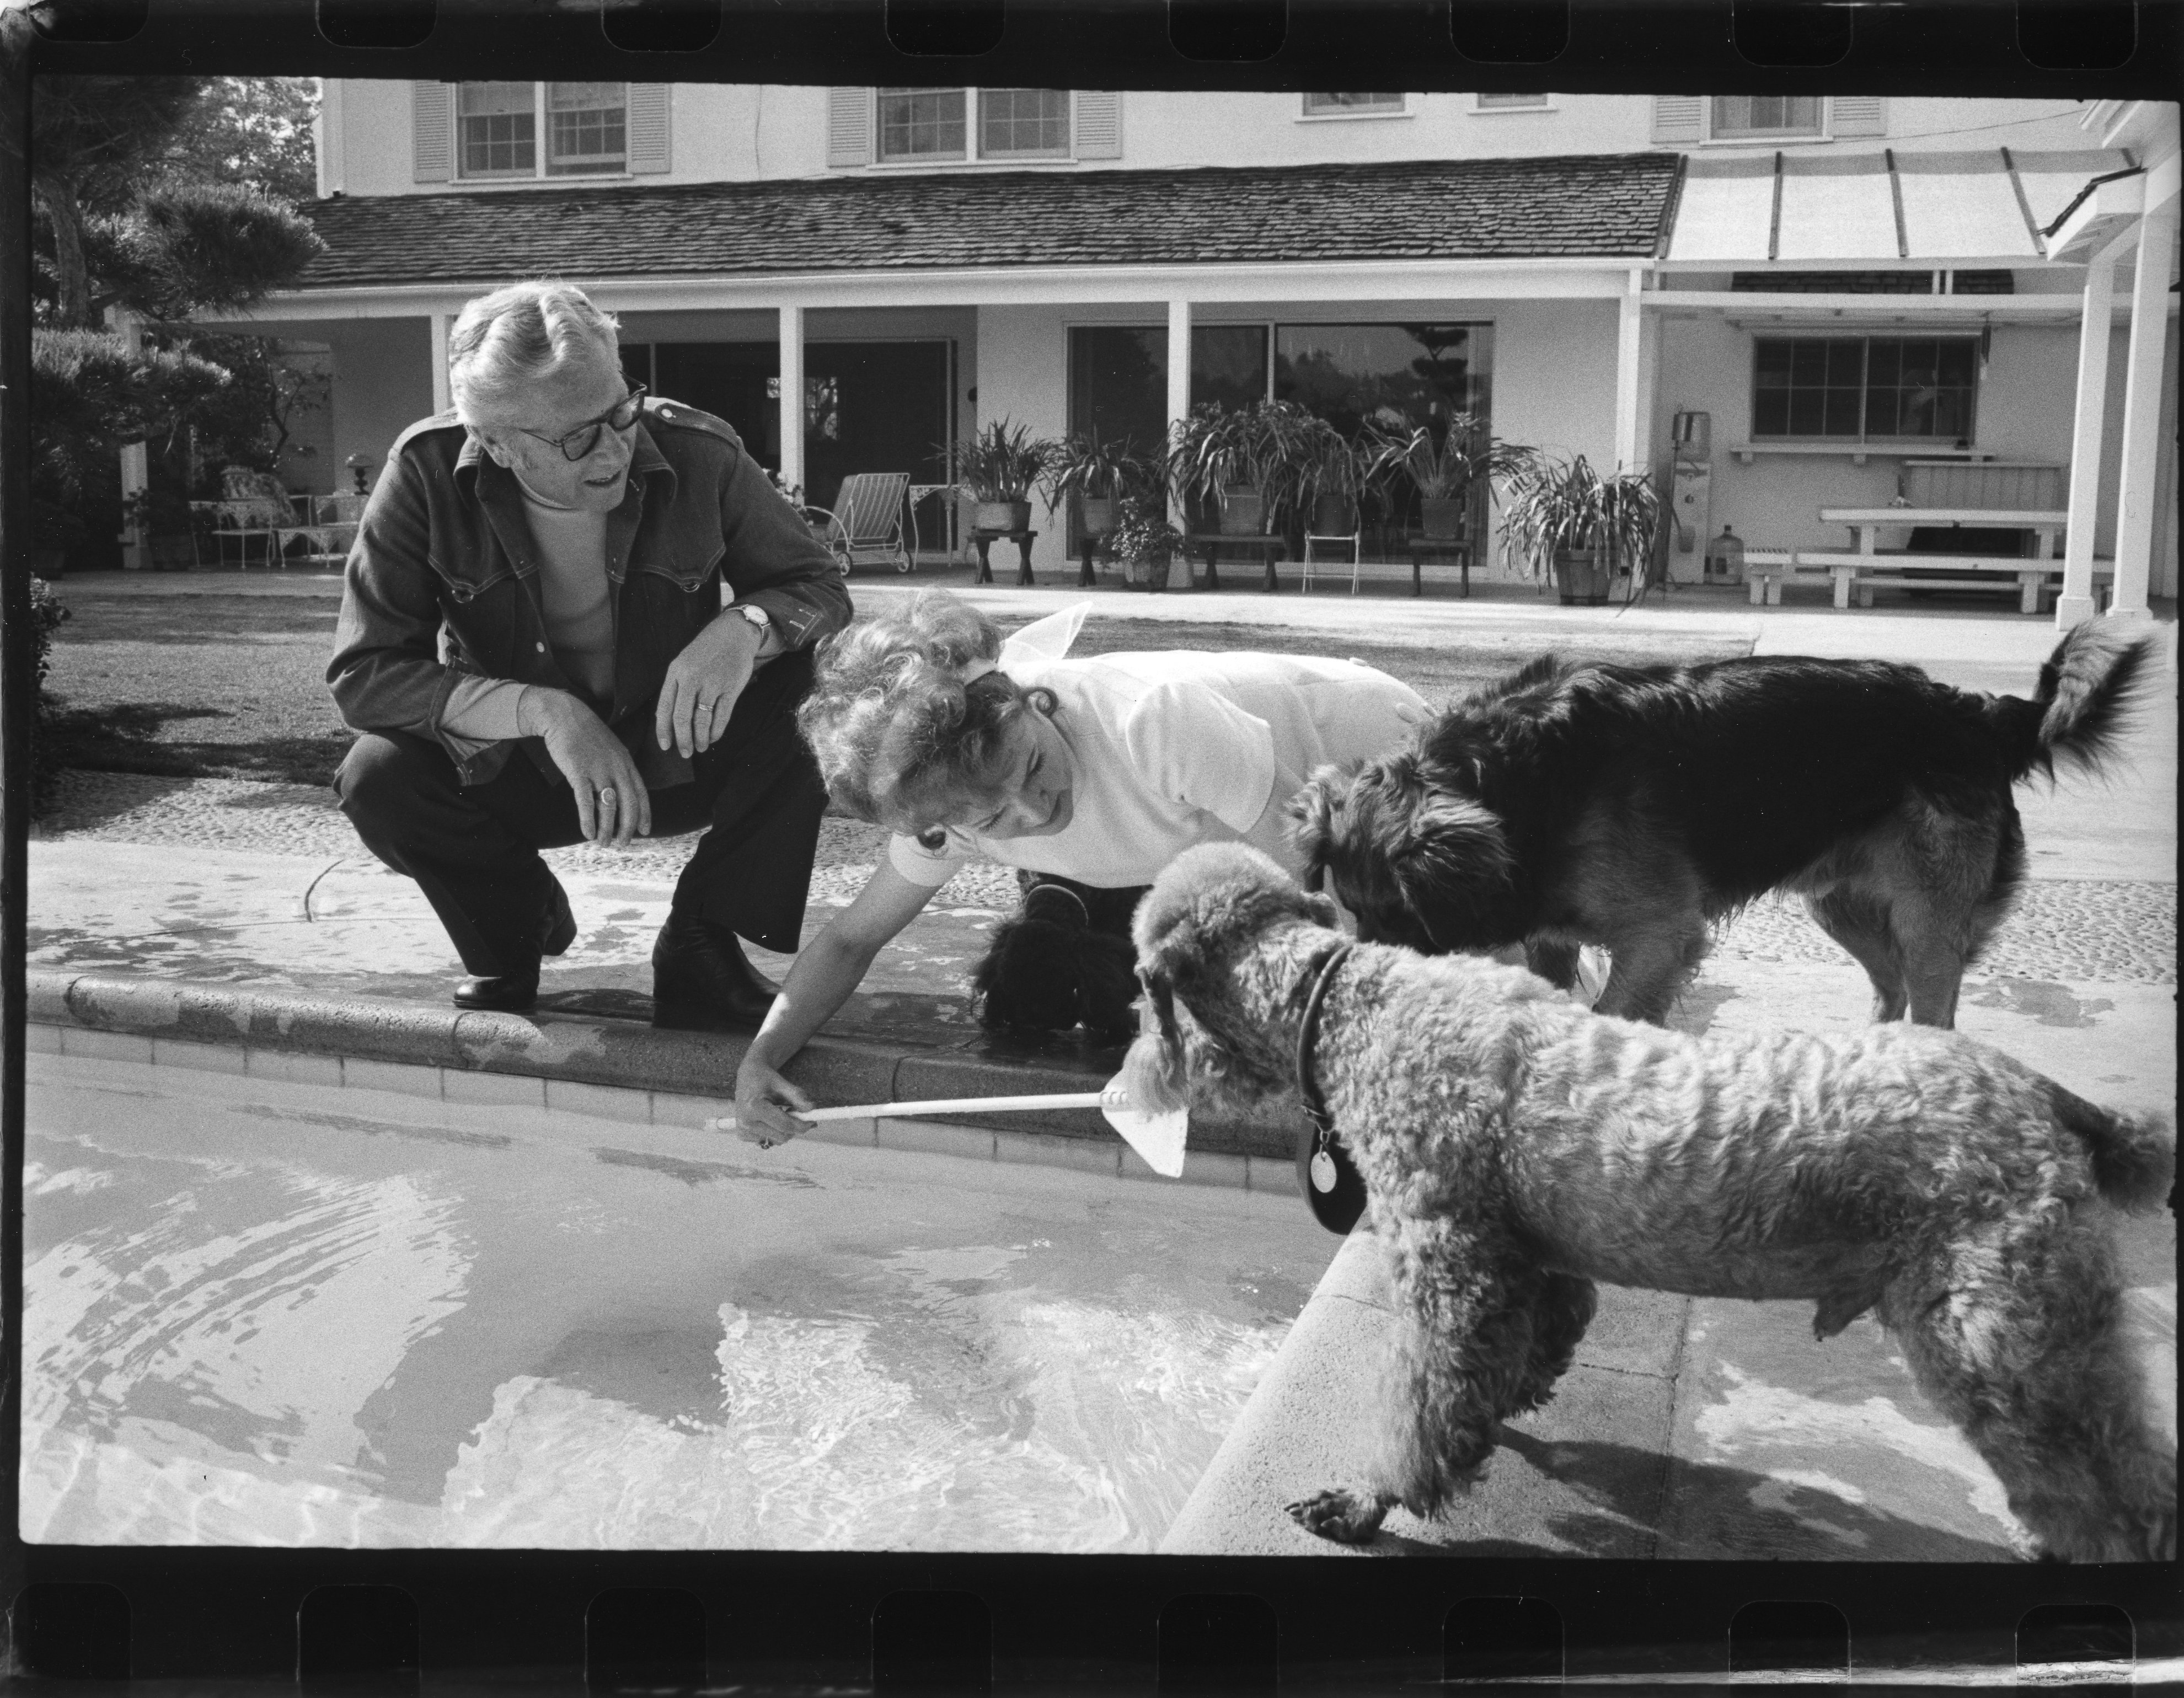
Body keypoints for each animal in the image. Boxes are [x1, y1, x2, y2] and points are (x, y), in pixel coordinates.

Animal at [1136, 842, 2175, 1562]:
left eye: (1144, 984)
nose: (1133, 1077)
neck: (1346, 1000)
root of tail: (2043, 1094)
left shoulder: (1451, 1266)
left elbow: (1421, 1405)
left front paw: (1364, 1498)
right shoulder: (1529, 1254)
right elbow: (1535, 1338)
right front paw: (1512, 1403)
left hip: (2000, 1336)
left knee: (2117, 1492)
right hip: (2050, 1334)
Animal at [1293, 619, 2149, 1026]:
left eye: (1404, 914)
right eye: (1352, 909)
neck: (1513, 782)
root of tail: (1981, 714)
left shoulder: (1660, 936)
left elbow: (1613, 1017)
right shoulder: (1552, 938)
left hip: (1930, 918)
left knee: (1932, 1006)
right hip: (1840, 905)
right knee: (1891, 986)